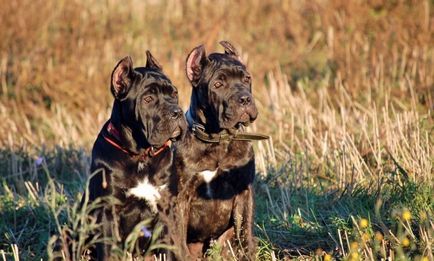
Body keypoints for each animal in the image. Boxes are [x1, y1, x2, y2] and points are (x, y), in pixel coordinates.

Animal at [175, 40, 266, 258]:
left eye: (247, 78)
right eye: (218, 84)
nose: (244, 99)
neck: (218, 140)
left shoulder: (244, 191)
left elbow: (245, 232)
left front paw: (247, 254)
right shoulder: (181, 197)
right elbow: (179, 237)